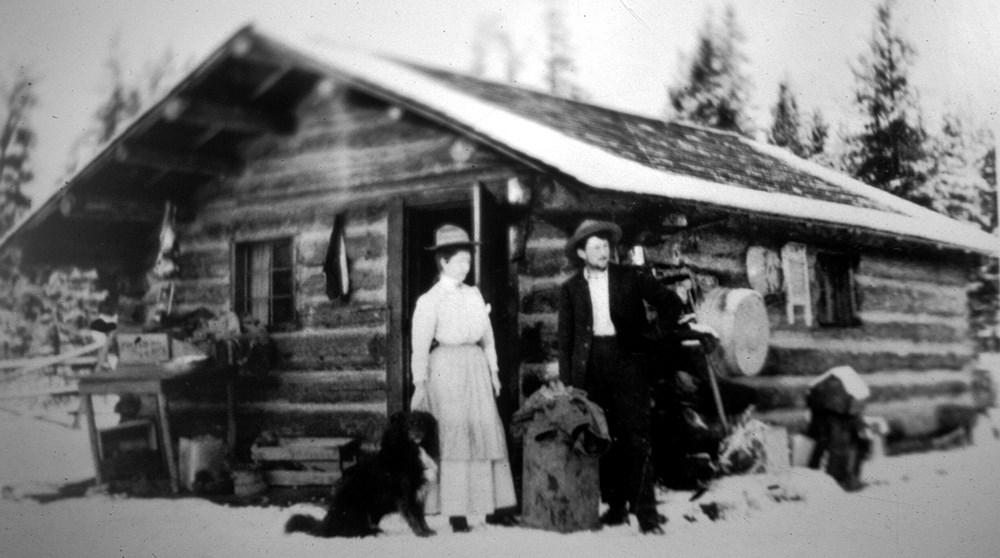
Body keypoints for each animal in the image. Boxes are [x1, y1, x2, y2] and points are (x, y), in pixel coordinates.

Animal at [282, 414, 438, 540]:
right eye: (409, 424)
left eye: (422, 423)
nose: (418, 433)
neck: (409, 449)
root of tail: (326, 526)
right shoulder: (406, 494)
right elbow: (413, 516)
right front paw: (421, 534)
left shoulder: (420, 494)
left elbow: (421, 517)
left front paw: (428, 531)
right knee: (352, 532)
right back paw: (373, 532)